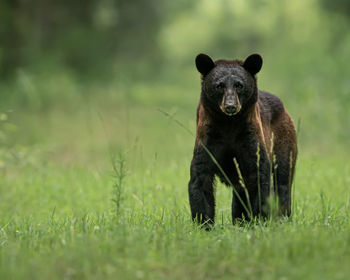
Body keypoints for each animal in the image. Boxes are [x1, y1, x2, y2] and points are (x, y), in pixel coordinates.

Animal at [189, 53, 298, 228]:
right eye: (219, 85)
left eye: (239, 85)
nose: (230, 106)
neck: (229, 125)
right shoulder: (208, 138)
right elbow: (201, 177)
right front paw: (203, 224)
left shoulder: (250, 137)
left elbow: (258, 174)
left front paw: (258, 219)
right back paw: (240, 220)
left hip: (283, 139)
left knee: (283, 178)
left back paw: (281, 218)